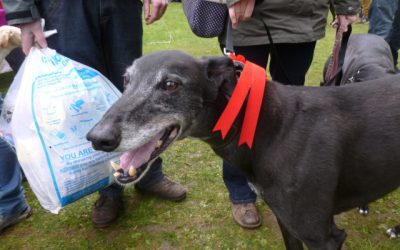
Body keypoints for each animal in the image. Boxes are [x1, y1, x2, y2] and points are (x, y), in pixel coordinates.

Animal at [86, 50, 400, 250]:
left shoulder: (323, 236)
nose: (97, 138)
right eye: (126, 80)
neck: (274, 126)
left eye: (171, 84)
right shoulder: (286, 221)